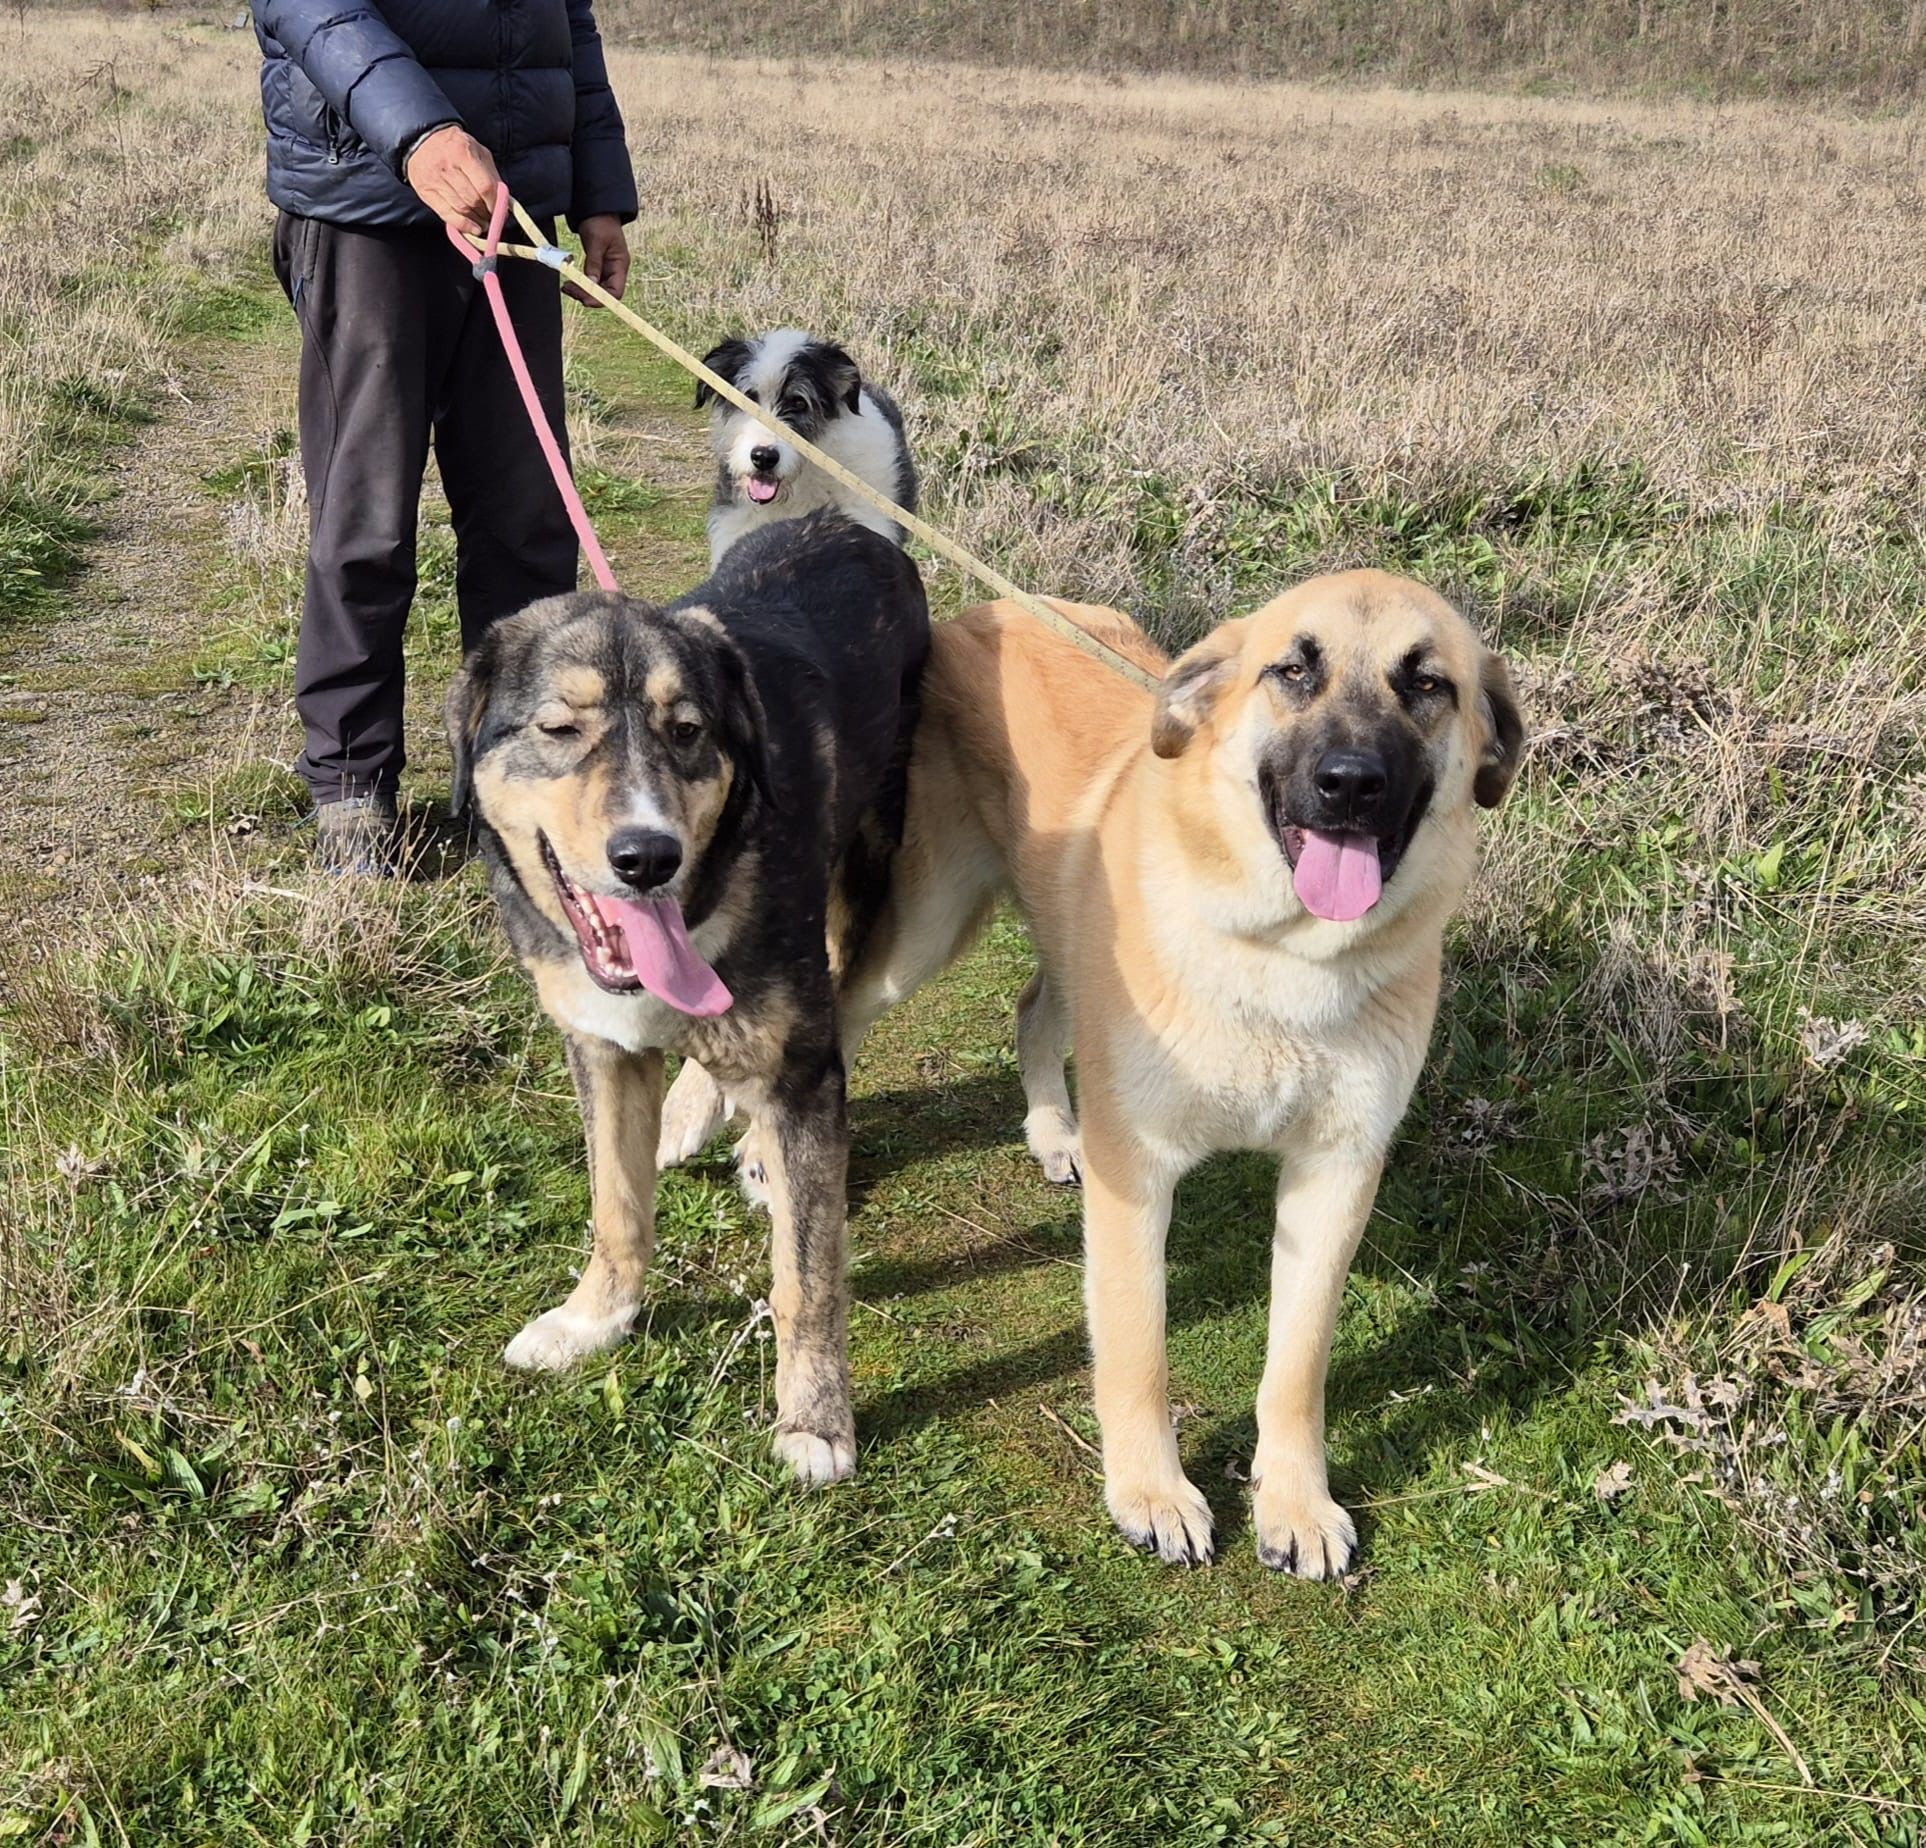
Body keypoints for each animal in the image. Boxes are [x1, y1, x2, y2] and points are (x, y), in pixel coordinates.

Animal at [450, 508, 932, 1486]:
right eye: (559, 728)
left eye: (688, 731)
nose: (648, 857)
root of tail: (850, 524)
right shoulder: (600, 1050)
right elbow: (616, 1205)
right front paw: (595, 1317)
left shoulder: (802, 1070)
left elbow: (806, 1279)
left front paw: (815, 1419)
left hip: (867, 866)